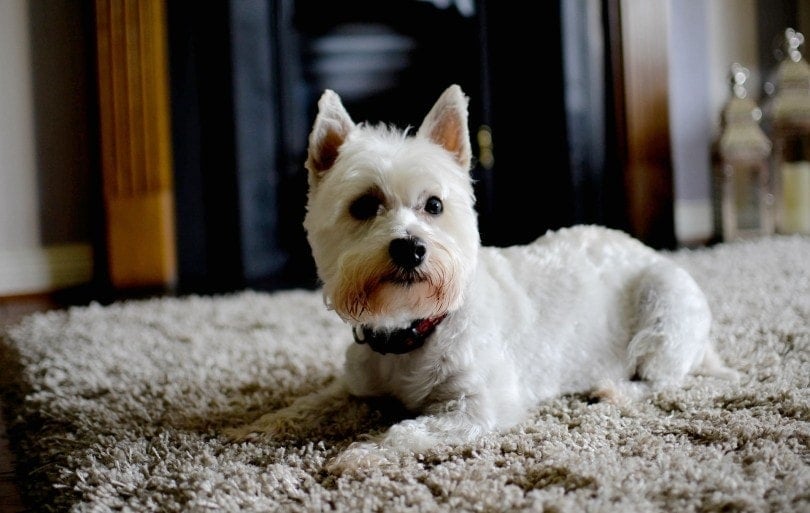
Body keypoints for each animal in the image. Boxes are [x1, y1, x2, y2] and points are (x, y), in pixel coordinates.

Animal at [224, 84, 736, 472]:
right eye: (364, 205)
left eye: (434, 204)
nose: (410, 247)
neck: (412, 327)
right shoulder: (355, 385)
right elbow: (308, 403)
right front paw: (252, 425)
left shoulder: (479, 404)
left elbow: (407, 432)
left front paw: (360, 452)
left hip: (665, 304)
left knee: (661, 377)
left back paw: (613, 389)